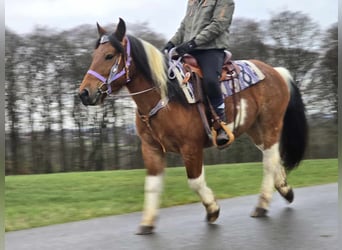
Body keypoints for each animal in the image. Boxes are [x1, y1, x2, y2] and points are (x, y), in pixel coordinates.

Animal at [79, 18, 308, 235]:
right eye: (94, 55)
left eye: (109, 56)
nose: (84, 93)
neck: (166, 97)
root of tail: (275, 71)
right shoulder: (151, 148)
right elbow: (152, 185)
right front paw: (147, 223)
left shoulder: (191, 147)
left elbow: (195, 181)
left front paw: (213, 209)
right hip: (255, 129)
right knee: (273, 156)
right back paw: (285, 190)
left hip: (271, 124)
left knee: (269, 161)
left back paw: (262, 204)